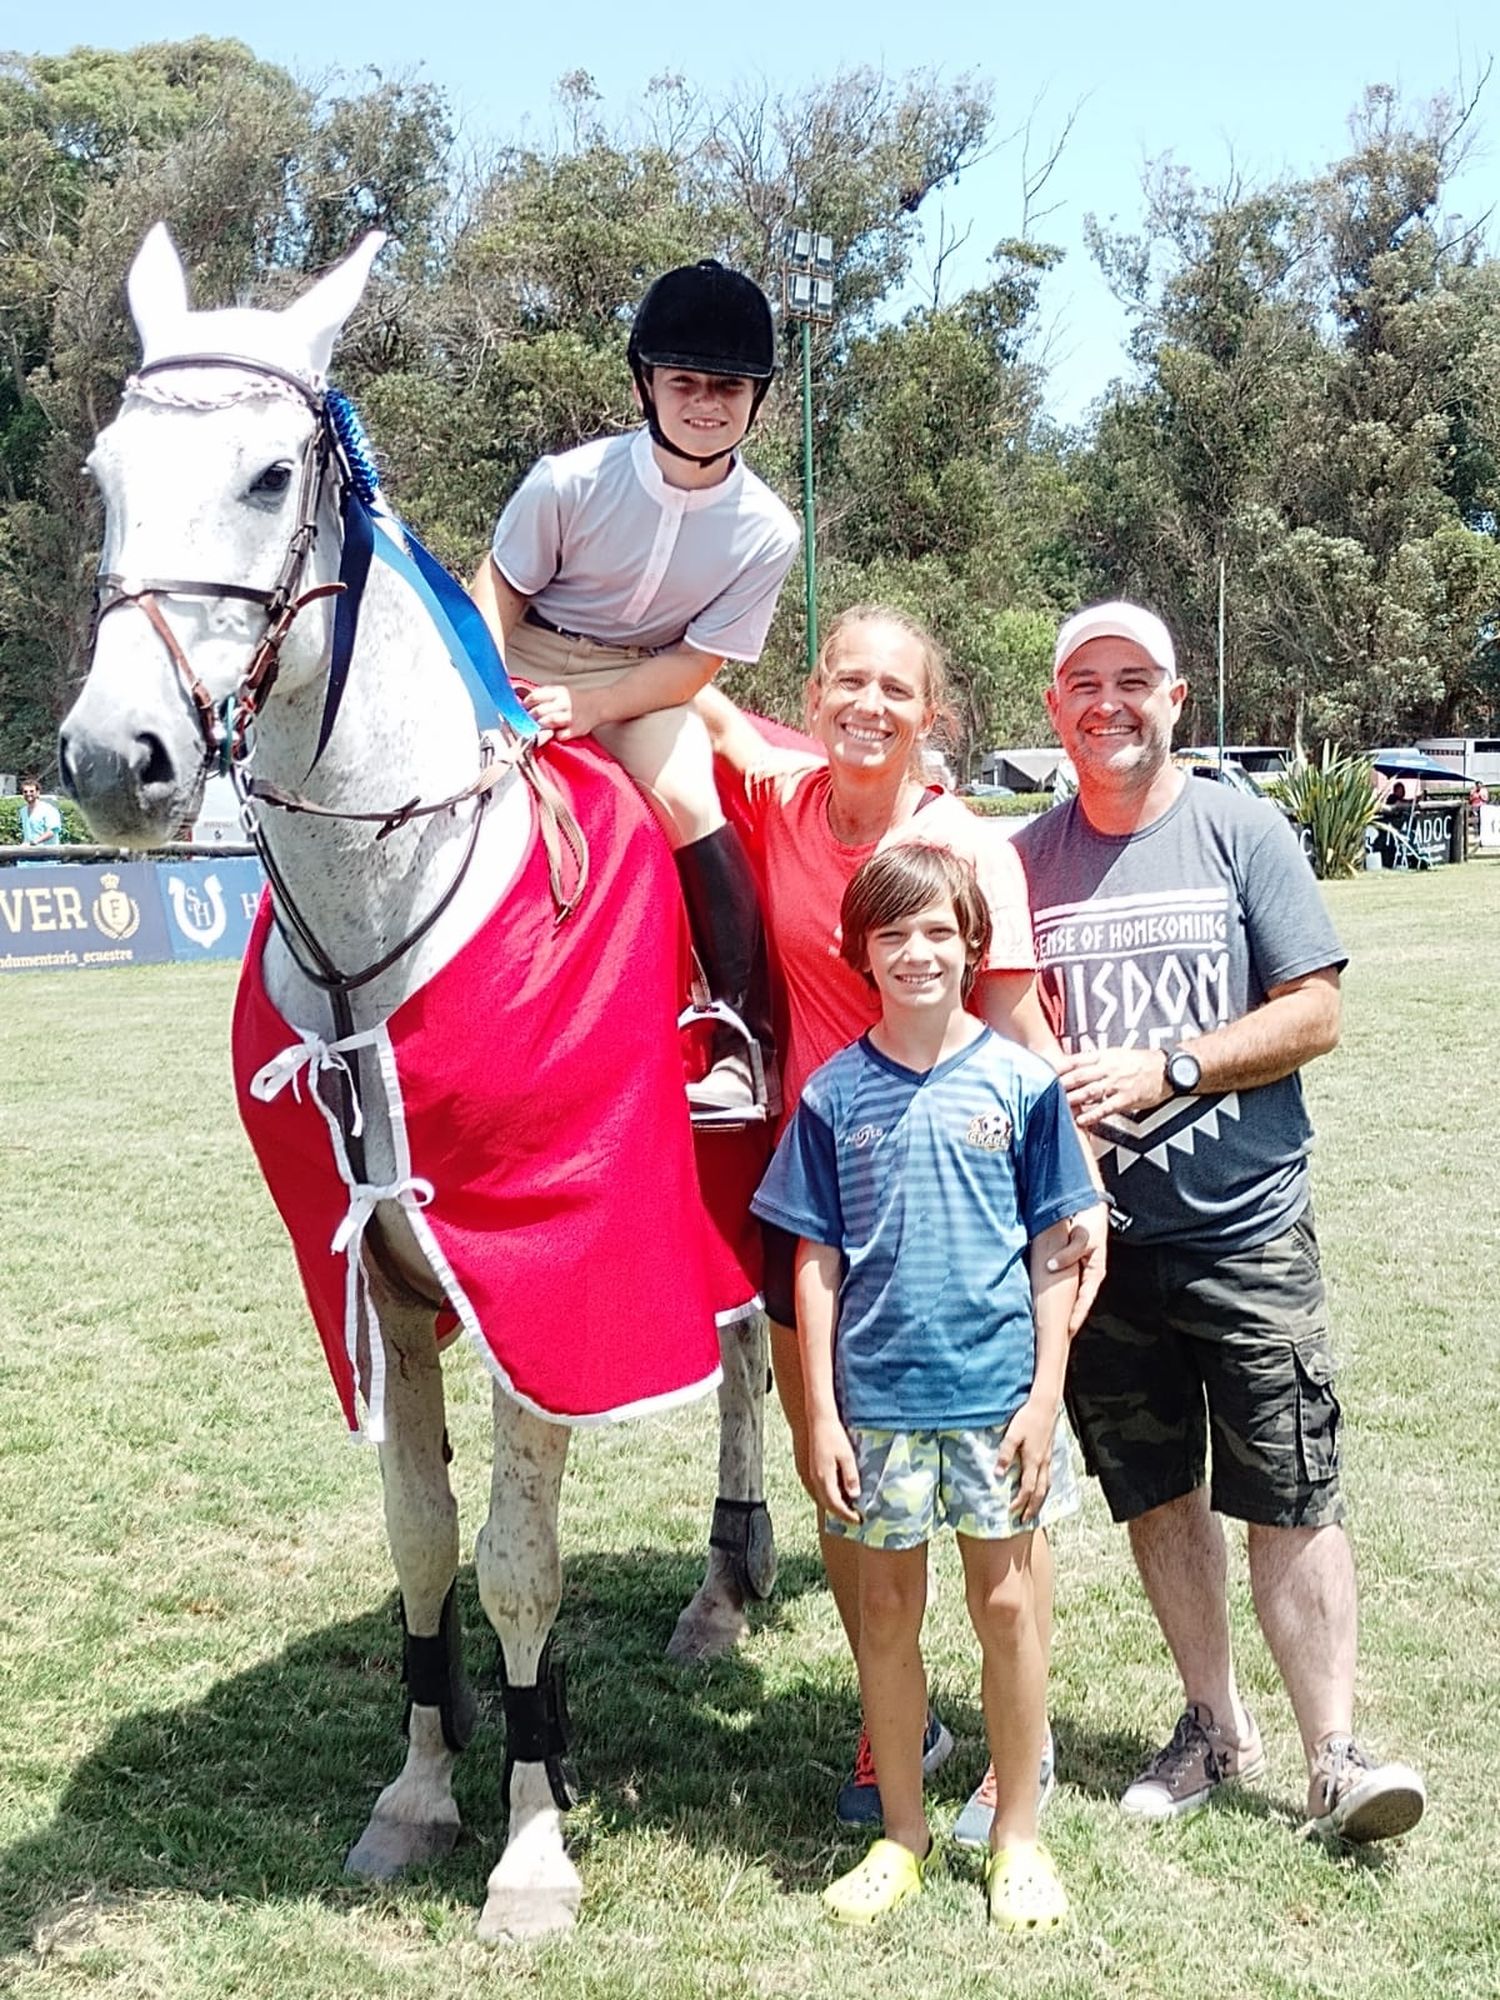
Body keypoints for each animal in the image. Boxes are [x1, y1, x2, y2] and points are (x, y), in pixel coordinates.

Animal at [58, 227, 776, 1944]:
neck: (385, 923)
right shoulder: (385, 1286)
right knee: (737, 1366)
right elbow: (422, 1536)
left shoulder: (550, 1282)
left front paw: (529, 1843)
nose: (116, 760)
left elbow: (518, 1559)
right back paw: (724, 1587)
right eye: (106, 475)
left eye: (270, 475)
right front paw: (416, 1791)